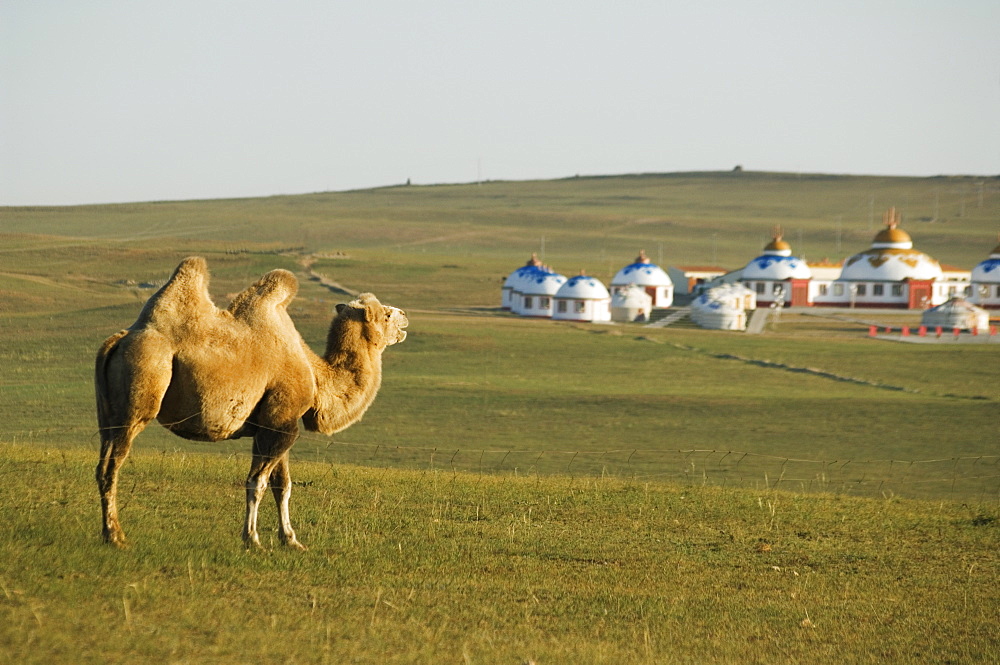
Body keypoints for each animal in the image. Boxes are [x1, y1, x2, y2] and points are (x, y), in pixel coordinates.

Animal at [94, 256, 406, 548]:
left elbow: (282, 485)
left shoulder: (274, 424)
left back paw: (109, 533)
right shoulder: (281, 423)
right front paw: (252, 539)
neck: (315, 374)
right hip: (140, 392)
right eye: (386, 314)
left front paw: (290, 540)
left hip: (108, 413)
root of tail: (119, 340)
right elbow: (257, 482)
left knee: (101, 465)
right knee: (113, 465)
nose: (404, 314)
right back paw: (116, 536)